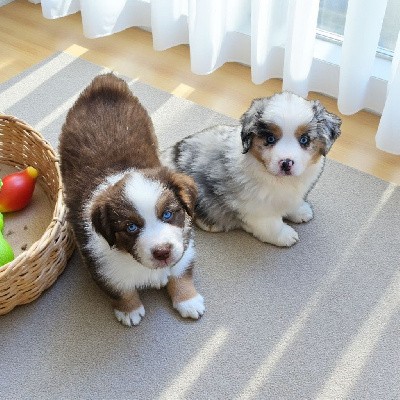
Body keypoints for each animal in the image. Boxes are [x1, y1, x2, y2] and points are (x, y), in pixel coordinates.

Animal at [59, 73, 205, 326]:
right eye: (131, 227)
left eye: (168, 214)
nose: (162, 252)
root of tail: (104, 80)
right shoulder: (101, 266)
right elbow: (120, 290)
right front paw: (129, 310)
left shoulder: (184, 243)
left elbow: (181, 273)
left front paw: (188, 300)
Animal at [162, 92, 341, 247]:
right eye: (270, 138)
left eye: (304, 139)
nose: (286, 163)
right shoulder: (254, 207)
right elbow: (271, 224)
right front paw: (285, 236)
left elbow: (292, 203)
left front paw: (300, 211)